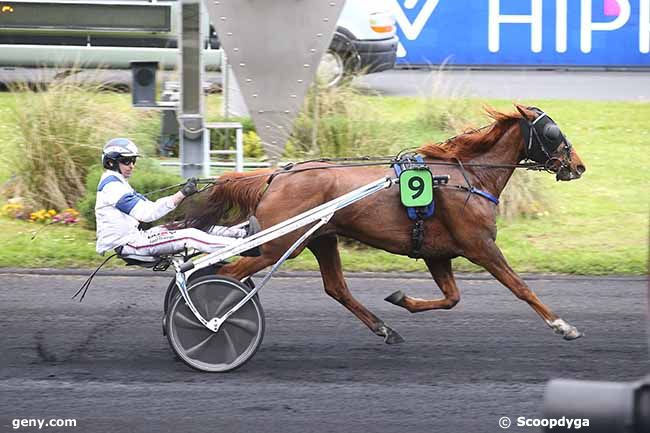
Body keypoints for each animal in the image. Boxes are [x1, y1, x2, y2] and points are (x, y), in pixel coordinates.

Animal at [181, 105, 584, 344]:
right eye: (553, 133)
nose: (578, 165)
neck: (467, 177)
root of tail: (276, 176)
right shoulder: (480, 246)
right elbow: (521, 287)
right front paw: (562, 325)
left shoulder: (437, 253)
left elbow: (451, 298)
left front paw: (401, 299)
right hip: (280, 246)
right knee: (228, 274)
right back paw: (208, 320)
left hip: (321, 238)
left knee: (336, 287)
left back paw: (383, 327)